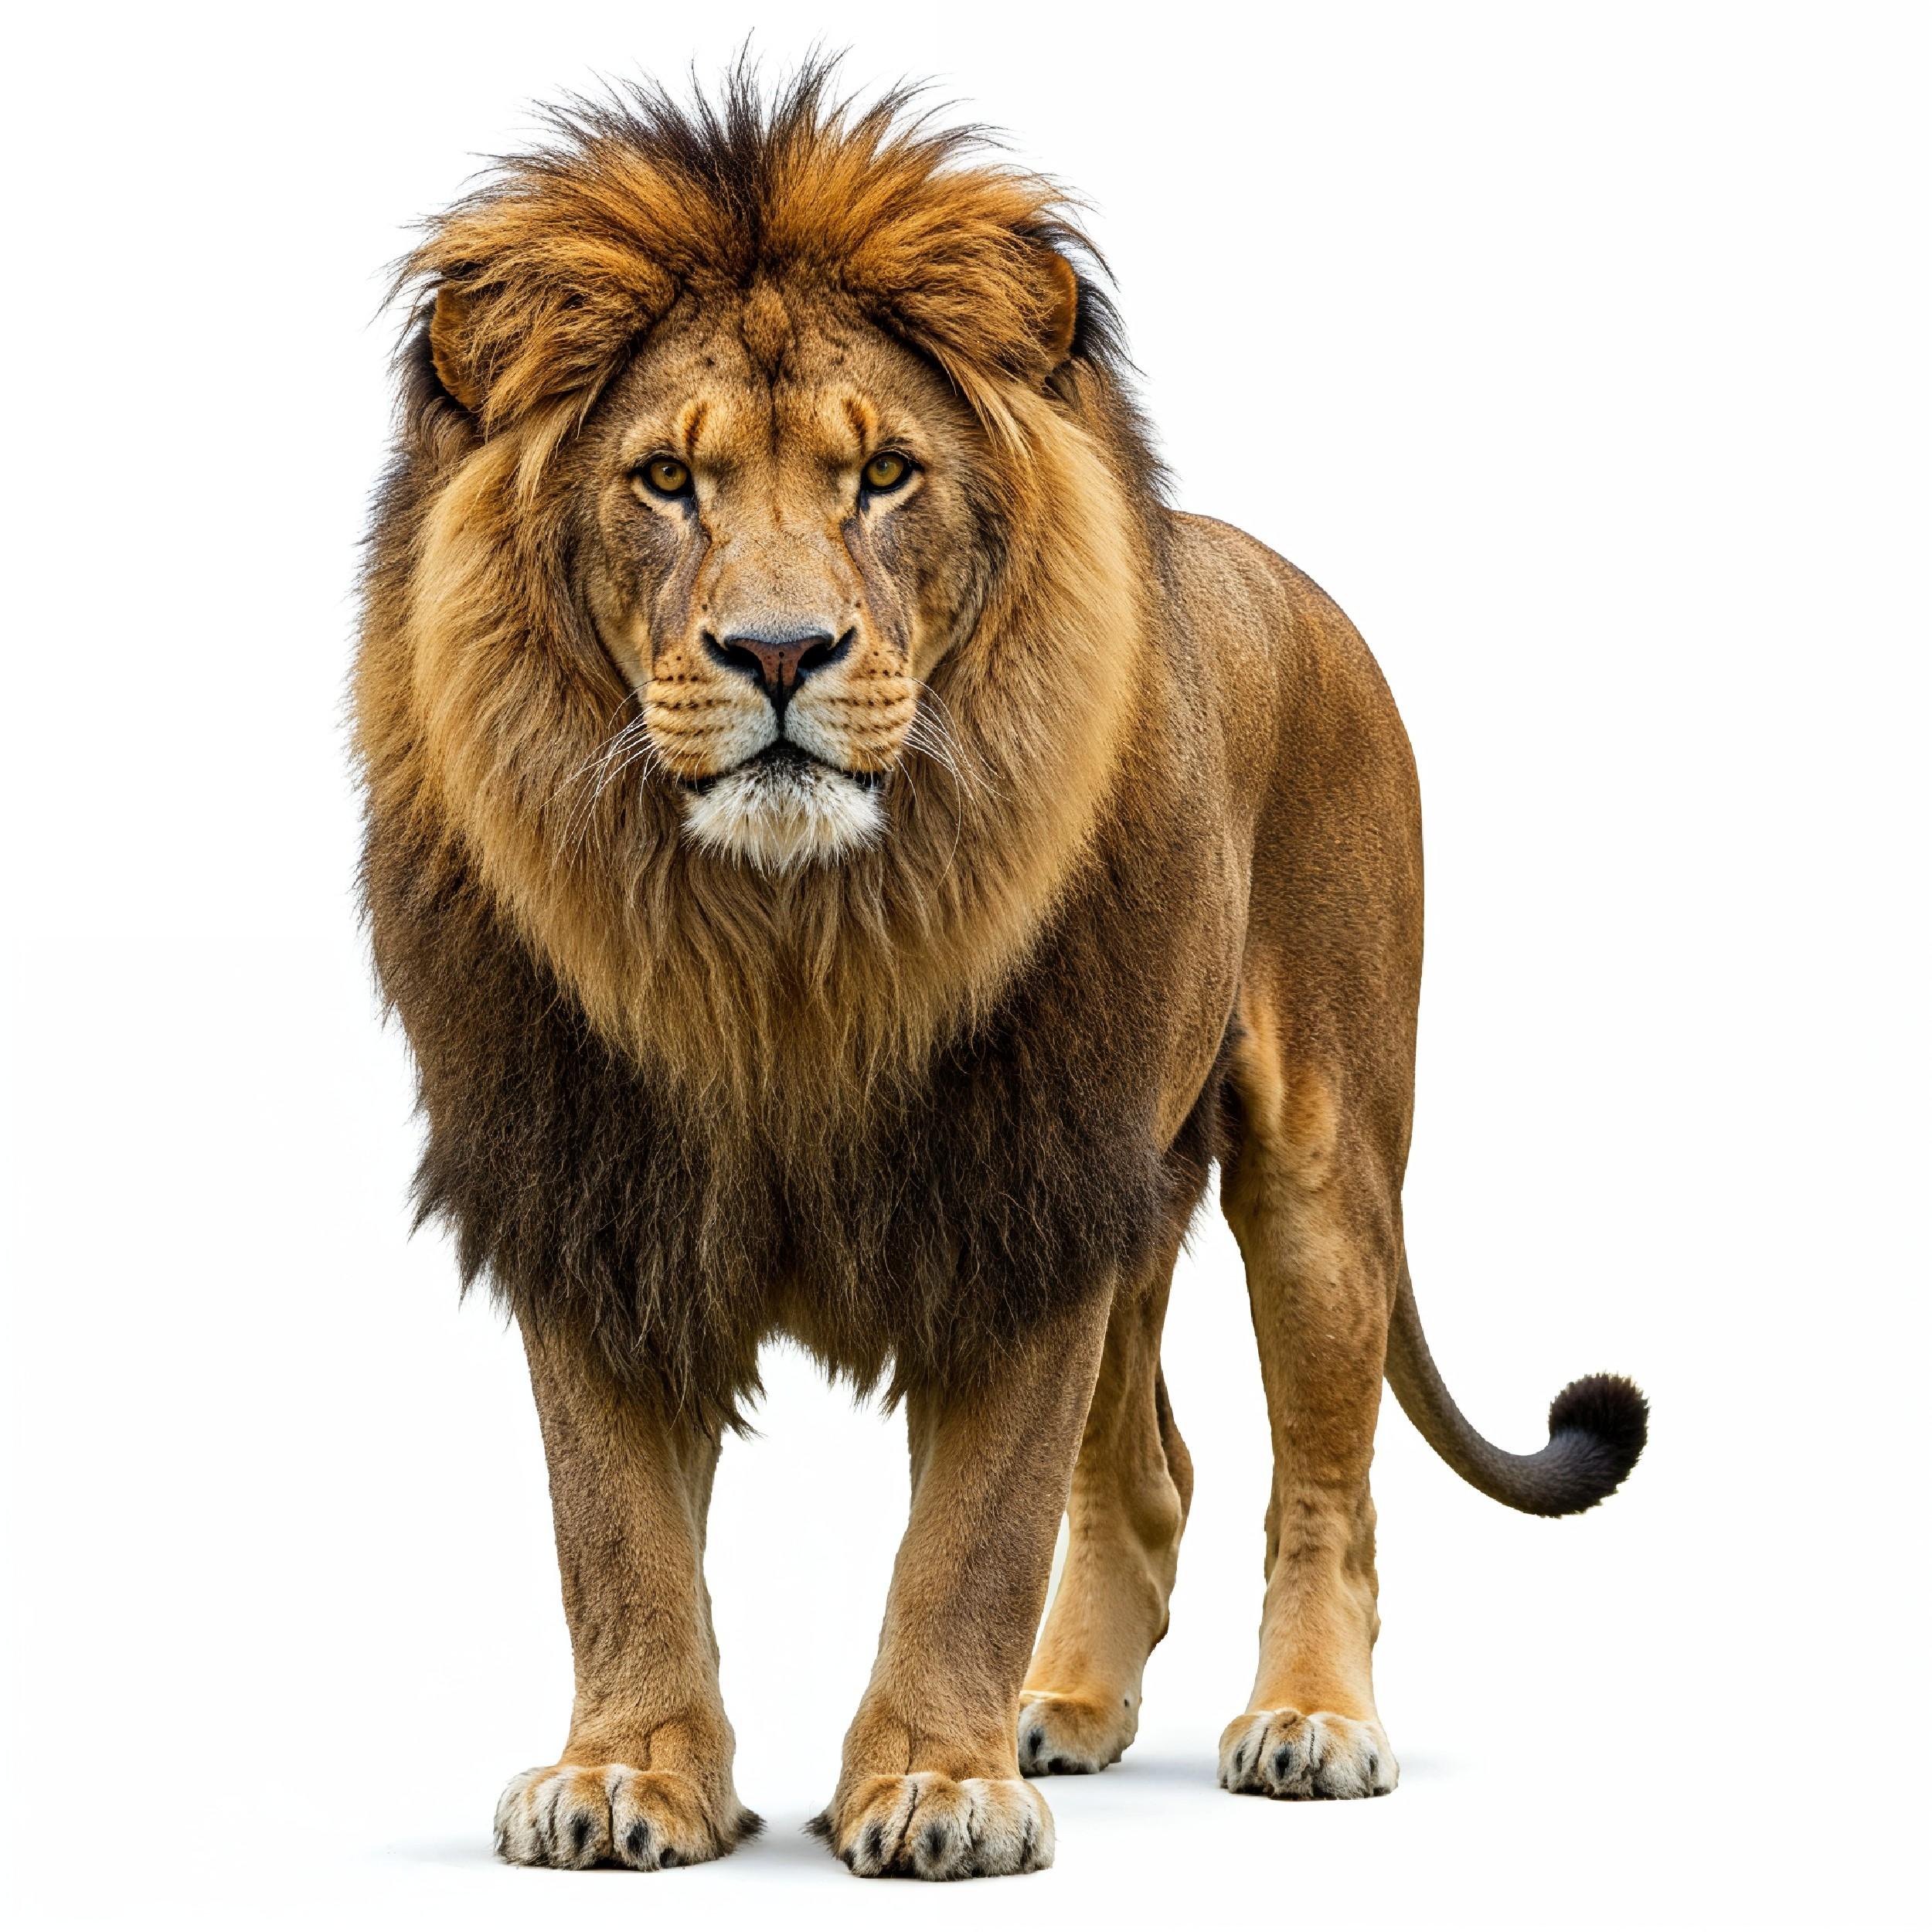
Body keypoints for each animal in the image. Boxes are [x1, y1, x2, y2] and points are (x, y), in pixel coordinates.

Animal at [355, 63, 1647, 1881]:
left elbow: (973, 1530)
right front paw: (626, 1774)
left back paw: (1310, 1723)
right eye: (666, 480)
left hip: (1316, 1164)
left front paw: (935, 1785)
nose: (777, 652)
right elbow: (609, 1524)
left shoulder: (1019, 1187)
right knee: (1154, 1471)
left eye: (886, 474)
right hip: (1139, 1189)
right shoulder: (594, 1184)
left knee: (1323, 1479)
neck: (783, 942)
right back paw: (1068, 1707)